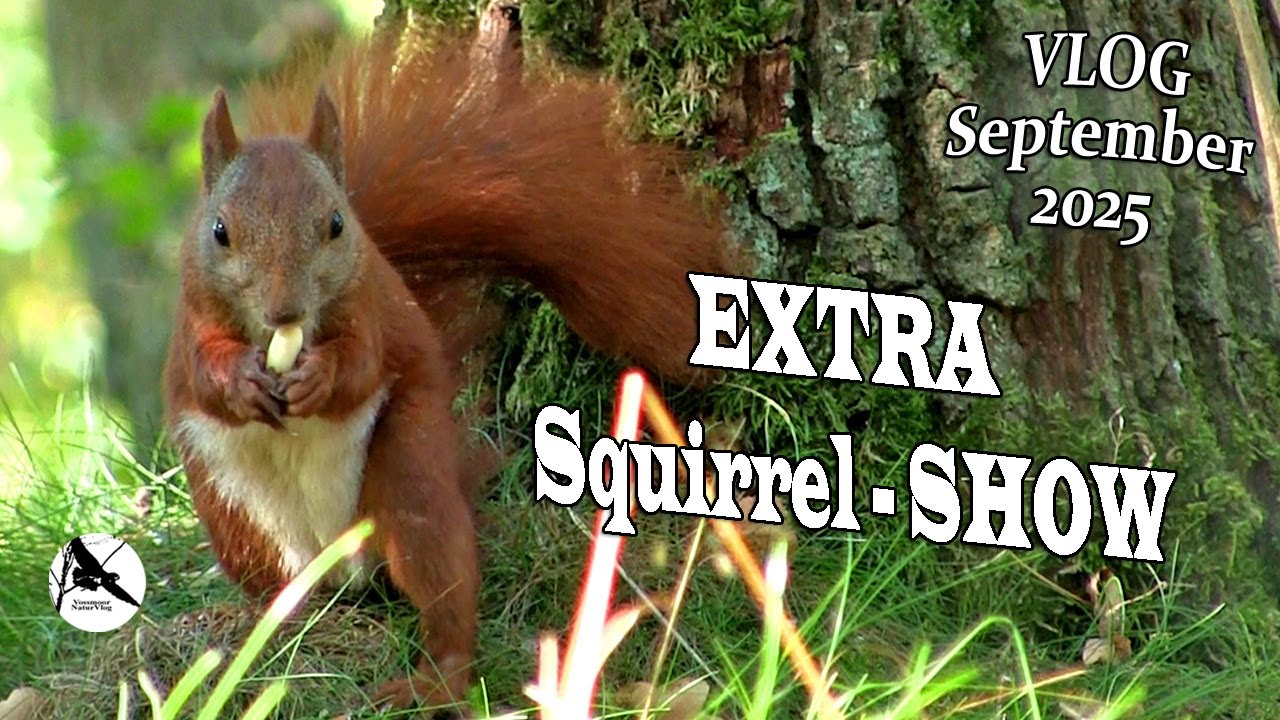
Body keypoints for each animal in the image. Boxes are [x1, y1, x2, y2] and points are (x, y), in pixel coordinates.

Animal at [162, 24, 740, 713]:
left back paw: (437, 675)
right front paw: (243, 379)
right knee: (278, 581)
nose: (284, 311)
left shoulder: (372, 305)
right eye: (219, 231)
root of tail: (342, 561)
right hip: (235, 514)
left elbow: (361, 364)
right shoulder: (191, 318)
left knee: (434, 565)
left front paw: (319, 377)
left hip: (409, 470)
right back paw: (277, 620)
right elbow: (203, 375)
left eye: (336, 224)